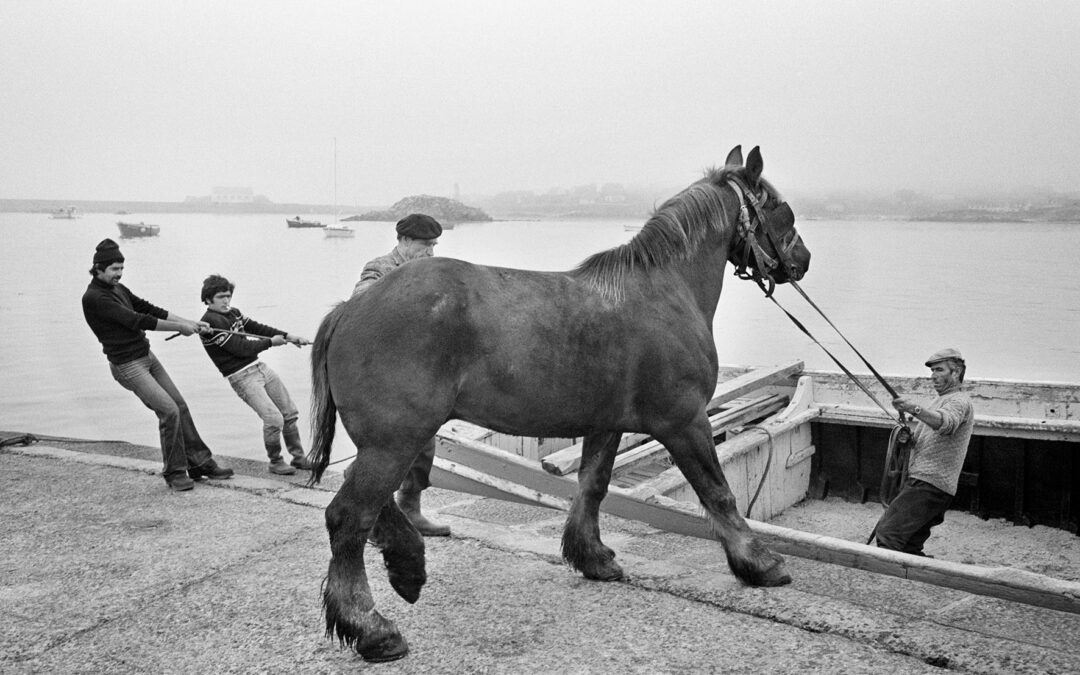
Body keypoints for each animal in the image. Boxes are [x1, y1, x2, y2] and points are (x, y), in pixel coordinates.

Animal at [306, 144, 812, 660]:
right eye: (779, 207)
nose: (802, 259)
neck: (667, 290)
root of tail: (351, 307)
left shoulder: (606, 423)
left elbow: (593, 486)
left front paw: (592, 557)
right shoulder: (685, 421)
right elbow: (719, 493)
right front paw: (759, 563)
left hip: (390, 440)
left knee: (366, 503)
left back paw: (407, 565)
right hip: (395, 440)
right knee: (349, 516)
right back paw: (370, 626)